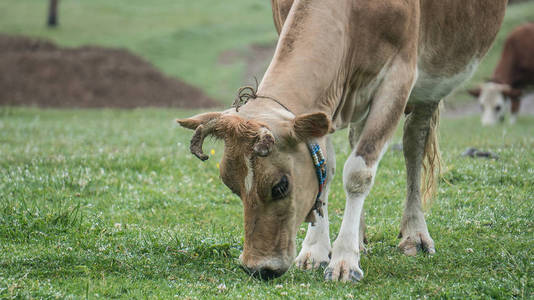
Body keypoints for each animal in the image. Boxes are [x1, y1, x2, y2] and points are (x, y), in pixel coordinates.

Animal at [178, 0, 508, 282]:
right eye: (231, 186)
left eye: (280, 185)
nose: (257, 268)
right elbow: (325, 166)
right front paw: (315, 250)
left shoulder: (399, 78)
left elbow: (359, 172)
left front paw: (344, 260)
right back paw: (359, 237)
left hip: (434, 81)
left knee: (413, 142)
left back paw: (415, 234)